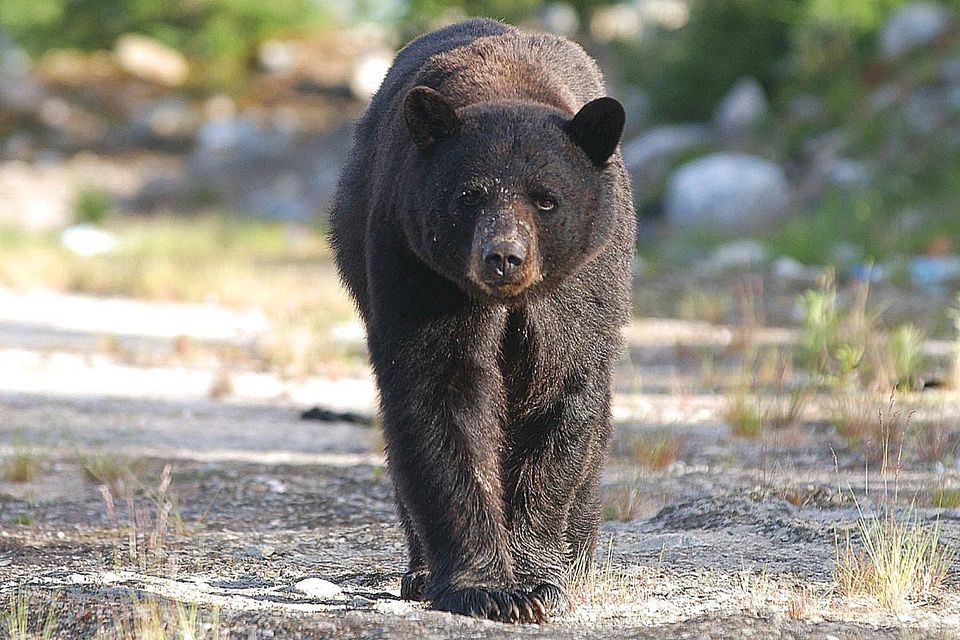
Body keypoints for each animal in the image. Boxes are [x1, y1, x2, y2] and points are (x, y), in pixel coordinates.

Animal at [330, 17, 636, 624]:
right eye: (468, 195)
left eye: (546, 199)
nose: (503, 257)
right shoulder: (418, 268)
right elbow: (440, 395)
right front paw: (488, 588)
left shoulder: (582, 287)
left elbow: (560, 403)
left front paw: (538, 577)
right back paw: (419, 571)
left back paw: (578, 556)